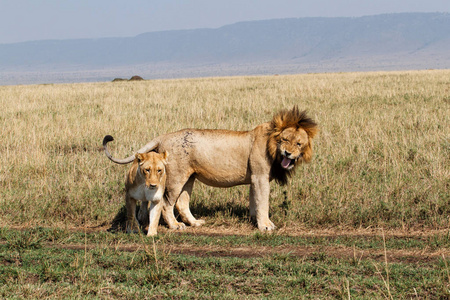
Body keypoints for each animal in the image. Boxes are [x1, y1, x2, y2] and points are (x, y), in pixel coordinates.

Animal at [103, 106, 318, 231]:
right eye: (285, 140)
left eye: (298, 143)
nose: (288, 153)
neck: (272, 145)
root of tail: (164, 136)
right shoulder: (260, 176)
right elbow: (263, 202)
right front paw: (265, 225)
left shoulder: (255, 179)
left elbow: (254, 201)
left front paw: (253, 219)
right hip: (175, 178)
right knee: (166, 204)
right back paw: (176, 226)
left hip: (189, 177)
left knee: (182, 203)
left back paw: (194, 223)